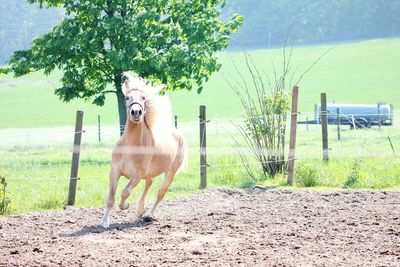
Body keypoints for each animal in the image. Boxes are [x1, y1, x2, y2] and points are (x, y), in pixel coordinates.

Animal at [101, 73, 186, 228]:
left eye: (143, 98)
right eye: (126, 98)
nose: (136, 112)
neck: (131, 147)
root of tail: (176, 133)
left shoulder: (136, 176)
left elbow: (125, 192)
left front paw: (126, 206)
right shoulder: (115, 171)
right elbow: (111, 197)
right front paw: (104, 222)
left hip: (171, 171)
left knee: (161, 192)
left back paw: (149, 215)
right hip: (149, 173)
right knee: (150, 182)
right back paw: (141, 210)